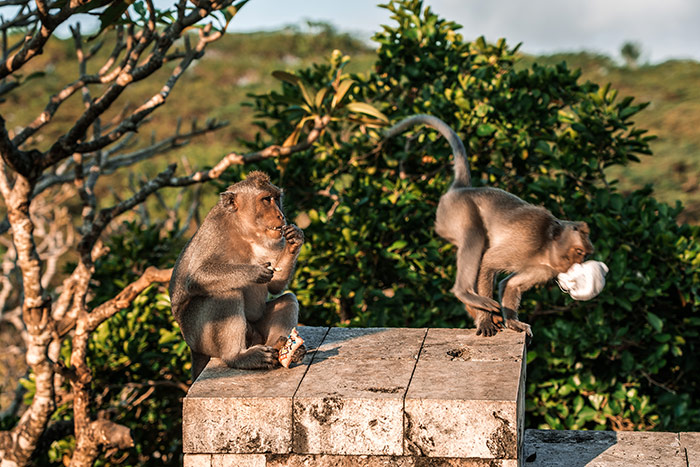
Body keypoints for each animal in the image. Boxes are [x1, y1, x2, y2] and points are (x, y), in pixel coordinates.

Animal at [169, 171, 306, 380]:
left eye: (277, 198)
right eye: (266, 200)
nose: (280, 215)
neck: (245, 231)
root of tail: (192, 348)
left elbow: (276, 286)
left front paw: (295, 240)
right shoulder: (214, 232)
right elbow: (197, 276)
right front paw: (253, 272)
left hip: (257, 330)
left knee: (288, 299)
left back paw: (281, 347)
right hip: (198, 335)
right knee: (227, 293)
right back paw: (238, 357)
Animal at [384, 115, 594, 338]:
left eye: (584, 255)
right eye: (579, 252)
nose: (576, 265)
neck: (546, 246)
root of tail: (462, 189)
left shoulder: (546, 269)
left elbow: (511, 283)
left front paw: (512, 321)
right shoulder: (526, 243)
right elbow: (487, 262)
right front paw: (485, 319)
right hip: (452, 212)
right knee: (474, 235)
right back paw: (466, 294)